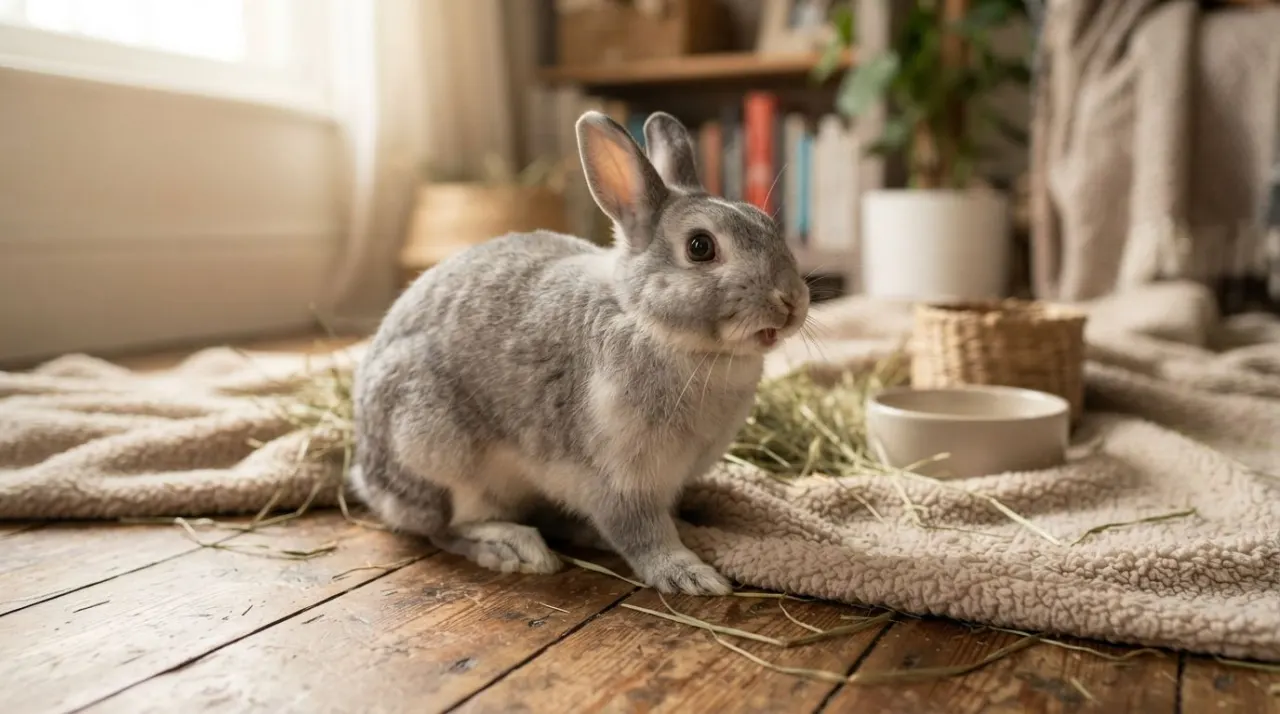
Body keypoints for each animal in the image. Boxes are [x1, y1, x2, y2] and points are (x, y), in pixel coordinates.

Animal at [349, 110, 810, 595]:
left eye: (767, 224)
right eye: (700, 246)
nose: (791, 301)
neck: (647, 322)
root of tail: (369, 478)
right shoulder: (618, 479)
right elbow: (644, 534)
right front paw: (690, 576)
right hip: (435, 452)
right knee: (446, 527)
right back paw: (513, 547)